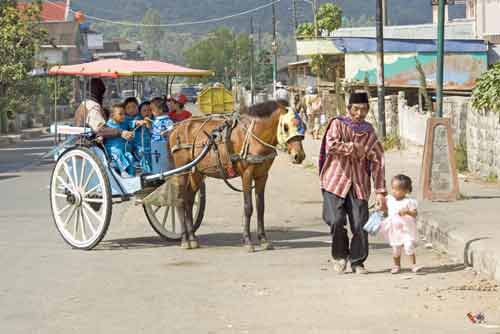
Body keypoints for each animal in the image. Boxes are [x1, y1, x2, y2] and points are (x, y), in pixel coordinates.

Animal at [170, 100, 306, 252]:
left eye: (303, 126)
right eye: (286, 127)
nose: (299, 155)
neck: (253, 136)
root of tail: (176, 128)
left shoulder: (262, 176)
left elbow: (261, 207)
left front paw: (263, 240)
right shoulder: (246, 174)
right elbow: (248, 207)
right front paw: (247, 241)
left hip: (197, 172)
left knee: (189, 200)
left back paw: (193, 238)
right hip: (182, 170)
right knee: (180, 201)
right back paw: (184, 239)